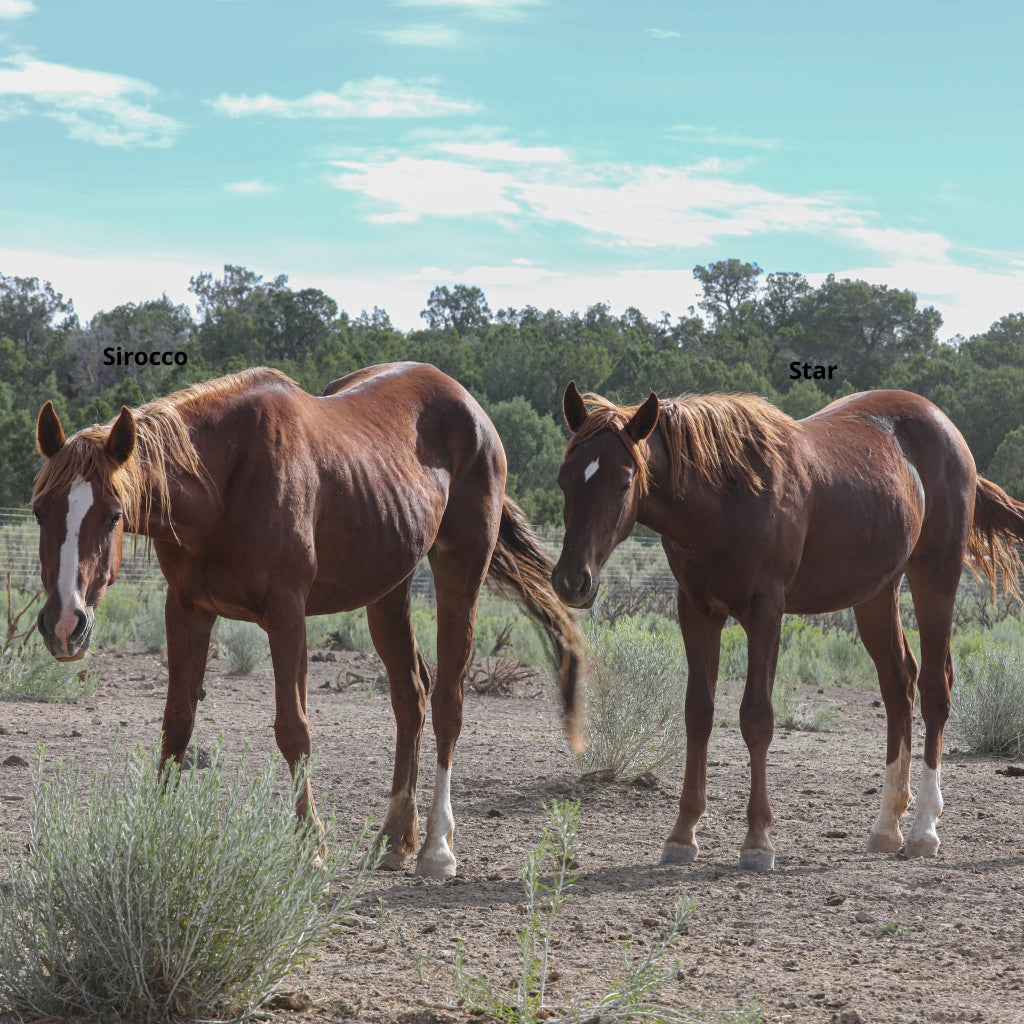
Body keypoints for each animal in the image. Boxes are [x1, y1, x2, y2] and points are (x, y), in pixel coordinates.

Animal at [32, 364, 585, 876]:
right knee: (411, 694)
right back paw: (395, 837)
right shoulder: (188, 610)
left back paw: (436, 848)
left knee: (449, 699)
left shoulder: (287, 614)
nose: (65, 624)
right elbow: (177, 724)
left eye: (113, 515)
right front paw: (155, 833)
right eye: (39, 510)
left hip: (460, 574)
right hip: (388, 591)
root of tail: (469, 407)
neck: (225, 481)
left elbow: (293, 730)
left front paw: (310, 843)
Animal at [552, 385, 1024, 872]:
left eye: (624, 482)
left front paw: (758, 841)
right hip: (877, 592)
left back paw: (923, 829)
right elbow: (698, 714)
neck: (726, 496)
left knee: (934, 688)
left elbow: (757, 718)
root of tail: (944, 426)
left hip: (936, 576)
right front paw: (682, 834)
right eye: (564, 480)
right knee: (899, 683)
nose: (571, 580)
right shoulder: (697, 611)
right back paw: (886, 825)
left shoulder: (766, 612)